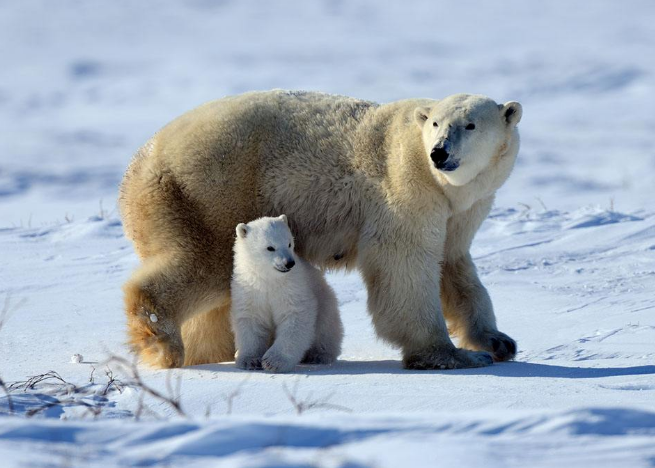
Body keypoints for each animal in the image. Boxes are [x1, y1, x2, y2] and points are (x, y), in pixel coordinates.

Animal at [120, 90, 524, 370]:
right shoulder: (404, 187)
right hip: (209, 192)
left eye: (470, 124)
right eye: (436, 124)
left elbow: (454, 265)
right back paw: (163, 342)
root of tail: (138, 164)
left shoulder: (463, 209)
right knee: (205, 263)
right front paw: (449, 355)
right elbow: (404, 265)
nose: (439, 153)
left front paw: (497, 341)